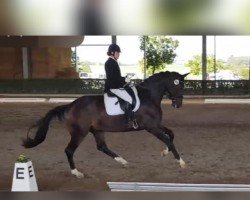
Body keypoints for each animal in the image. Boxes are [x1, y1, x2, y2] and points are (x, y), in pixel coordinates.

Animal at [23, 70, 188, 178]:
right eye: (178, 85)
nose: (178, 104)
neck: (148, 96)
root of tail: (71, 105)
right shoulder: (151, 127)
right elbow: (168, 139)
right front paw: (181, 162)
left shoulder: (156, 125)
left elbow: (171, 134)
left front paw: (165, 152)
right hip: (79, 132)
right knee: (69, 150)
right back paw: (77, 173)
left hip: (97, 130)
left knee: (102, 147)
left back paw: (123, 161)